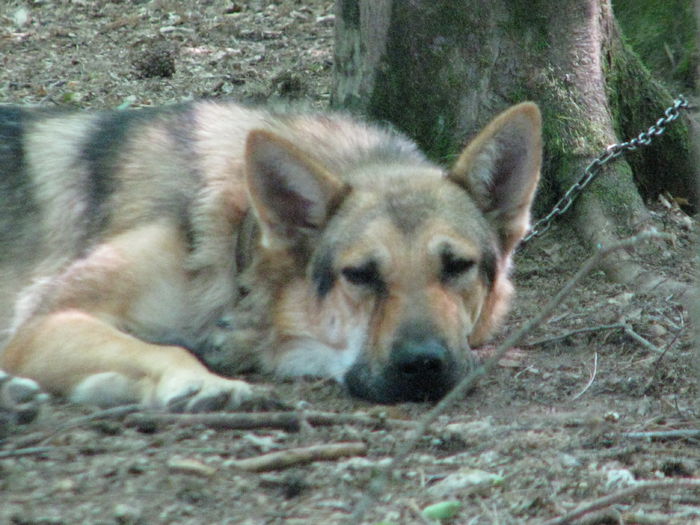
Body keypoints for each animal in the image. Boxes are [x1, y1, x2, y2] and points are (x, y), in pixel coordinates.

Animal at [0, 99, 540, 410]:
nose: (424, 365)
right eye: (359, 275)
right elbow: (167, 348)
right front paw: (203, 384)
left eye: (457, 266)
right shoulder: (43, 322)